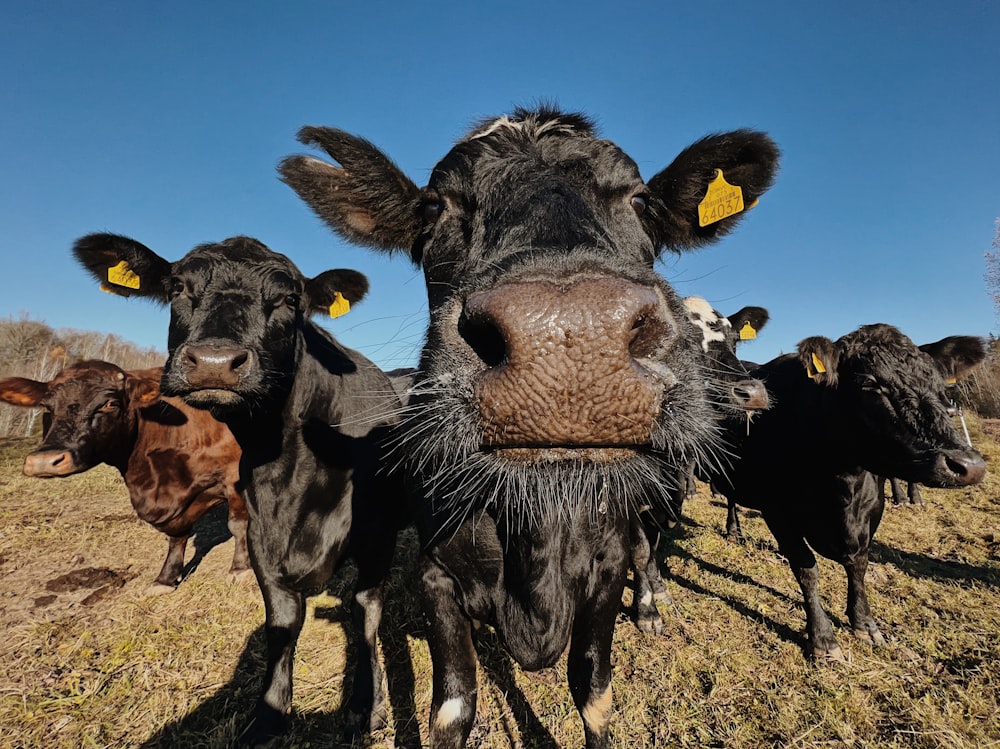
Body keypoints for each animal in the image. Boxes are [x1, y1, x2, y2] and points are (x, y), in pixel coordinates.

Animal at [0, 360, 248, 592]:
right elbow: (176, 537)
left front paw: (239, 568)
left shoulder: (234, 478)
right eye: (45, 406)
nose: (44, 460)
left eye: (110, 403)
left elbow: (237, 524)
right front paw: (165, 578)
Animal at [70, 231, 406, 744]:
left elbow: (364, 611)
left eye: (290, 299)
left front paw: (366, 705)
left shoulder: (377, 536)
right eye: (178, 287)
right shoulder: (262, 535)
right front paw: (268, 715)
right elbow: (281, 624)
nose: (214, 362)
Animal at [628, 298, 768, 632]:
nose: (753, 393)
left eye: (735, 340)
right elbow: (640, 549)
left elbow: (653, 544)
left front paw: (659, 588)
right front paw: (646, 610)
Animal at [712, 328, 984, 660]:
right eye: (869, 383)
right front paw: (823, 639)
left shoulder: (872, 510)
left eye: (937, 382)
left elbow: (859, 566)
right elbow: (806, 569)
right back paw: (732, 529)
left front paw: (864, 623)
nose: (969, 465)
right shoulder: (778, 512)